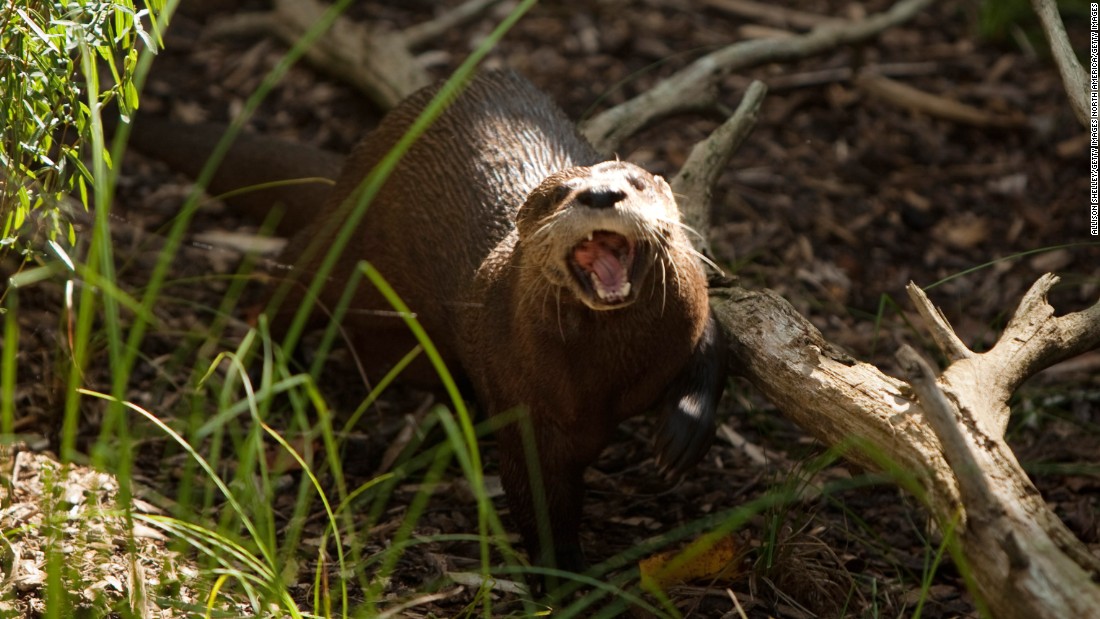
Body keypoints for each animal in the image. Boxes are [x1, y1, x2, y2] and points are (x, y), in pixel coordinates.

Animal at [128, 70, 726, 576]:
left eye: (634, 182)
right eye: (560, 193)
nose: (601, 194)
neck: (606, 376)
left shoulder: (694, 315)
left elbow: (714, 353)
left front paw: (681, 436)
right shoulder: (527, 406)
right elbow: (537, 497)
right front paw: (562, 578)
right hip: (339, 238)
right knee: (283, 290)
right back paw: (264, 368)